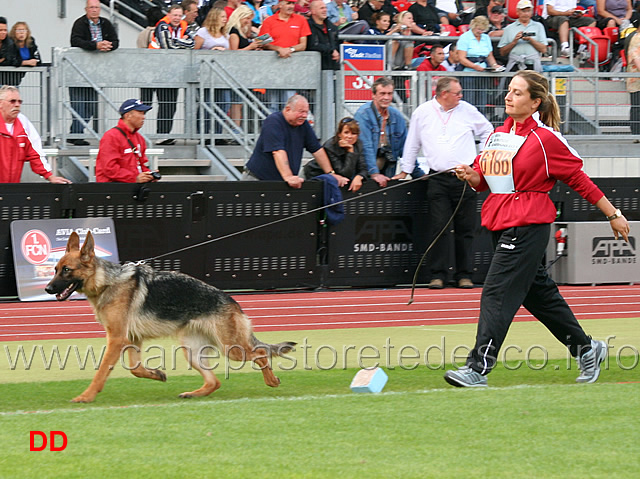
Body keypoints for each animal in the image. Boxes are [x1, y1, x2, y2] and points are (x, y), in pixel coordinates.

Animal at [45, 231, 296, 404]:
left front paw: (86, 396)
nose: (47, 289)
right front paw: (157, 374)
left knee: (261, 354)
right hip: (192, 351)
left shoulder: (116, 339)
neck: (107, 281)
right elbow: (135, 369)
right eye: (55, 269)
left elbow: (101, 373)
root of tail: (232, 302)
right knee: (214, 381)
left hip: (232, 349)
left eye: (66, 270)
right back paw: (193, 393)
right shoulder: (131, 339)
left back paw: (271, 381)